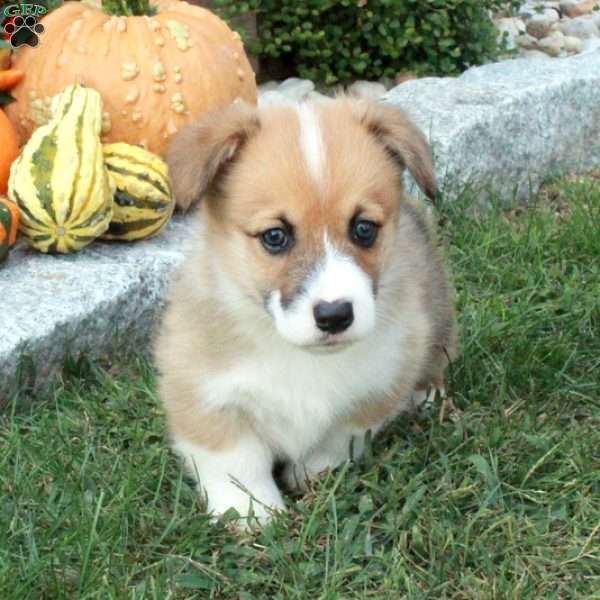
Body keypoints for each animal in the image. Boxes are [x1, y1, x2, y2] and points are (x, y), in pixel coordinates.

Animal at [157, 98, 458, 524]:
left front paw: (311, 474)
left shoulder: (376, 386)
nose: (335, 315)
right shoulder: (202, 390)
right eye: (275, 236)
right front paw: (250, 512)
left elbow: (339, 438)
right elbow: (236, 461)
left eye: (364, 228)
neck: (299, 355)